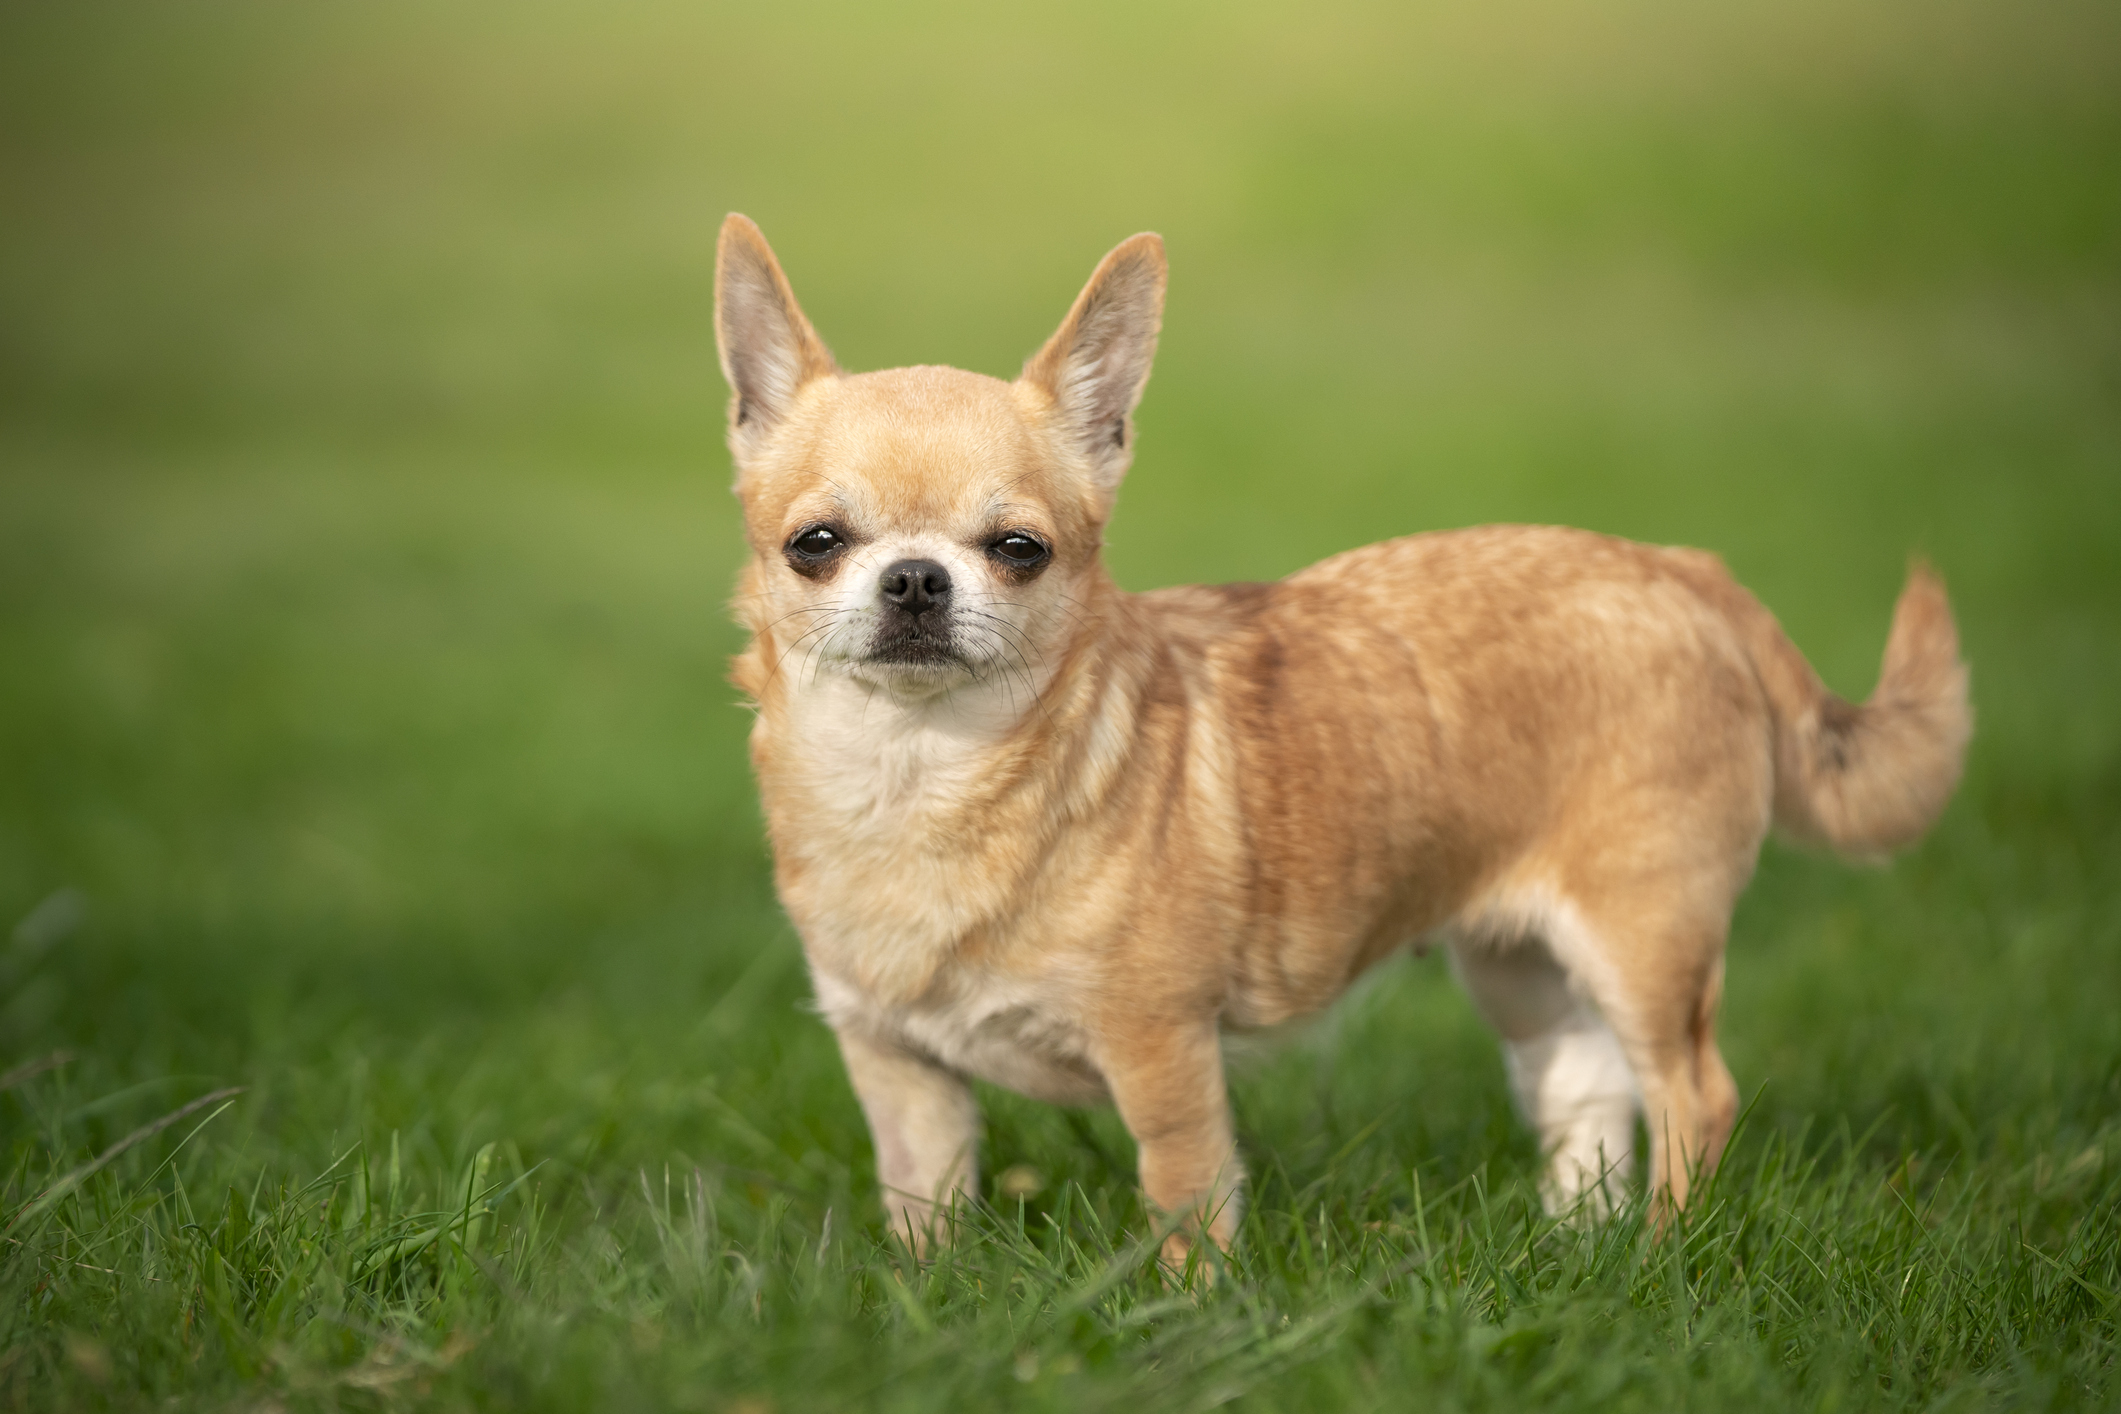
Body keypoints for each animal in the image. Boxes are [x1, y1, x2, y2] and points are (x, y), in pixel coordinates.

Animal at [712, 213, 1968, 1263]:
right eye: (817, 543)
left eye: (1019, 550)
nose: (916, 579)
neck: (917, 781)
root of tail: (1682, 571)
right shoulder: (900, 1071)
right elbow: (923, 1205)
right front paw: (931, 1302)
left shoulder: (1162, 1055)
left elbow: (1187, 1202)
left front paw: (1189, 1317)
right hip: (1519, 962)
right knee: (1586, 1089)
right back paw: (1582, 1246)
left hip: (1645, 940)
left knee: (1691, 1094)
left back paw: (1662, 1254)